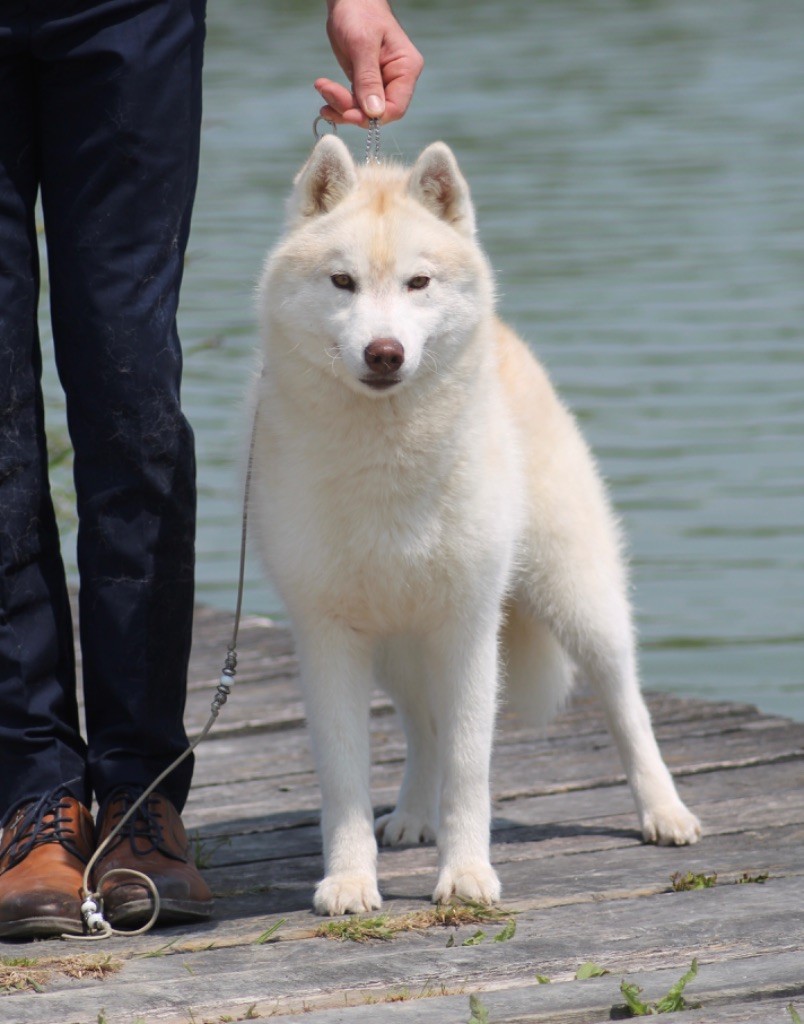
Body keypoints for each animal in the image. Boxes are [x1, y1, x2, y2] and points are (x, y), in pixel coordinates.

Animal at [250, 134, 696, 913]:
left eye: (418, 283)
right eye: (342, 282)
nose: (385, 352)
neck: (386, 458)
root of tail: (506, 334)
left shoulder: (467, 627)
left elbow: (469, 769)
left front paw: (465, 875)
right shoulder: (329, 637)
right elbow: (346, 779)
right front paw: (350, 879)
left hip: (575, 598)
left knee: (626, 704)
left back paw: (663, 811)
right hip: (399, 649)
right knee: (421, 730)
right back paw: (411, 817)